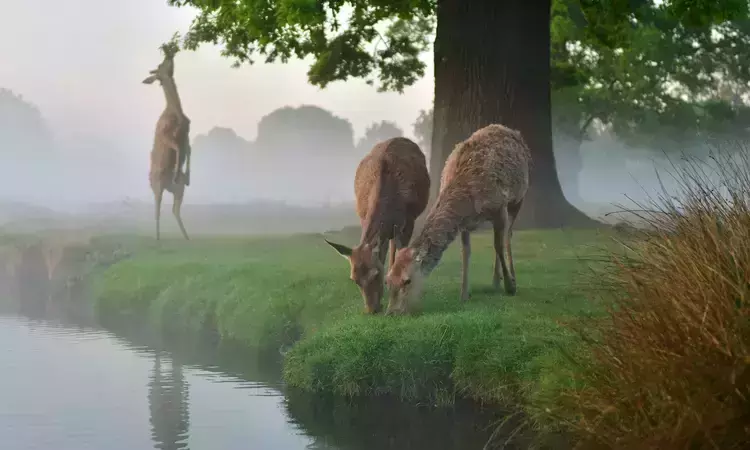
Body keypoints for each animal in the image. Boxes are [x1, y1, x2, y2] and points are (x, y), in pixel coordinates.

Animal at [142, 45, 191, 241]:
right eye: (160, 65)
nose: (169, 53)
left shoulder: (187, 135)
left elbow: (189, 150)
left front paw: (186, 174)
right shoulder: (166, 136)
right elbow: (177, 149)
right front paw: (178, 170)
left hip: (176, 190)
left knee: (174, 209)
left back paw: (187, 238)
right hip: (156, 186)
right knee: (157, 210)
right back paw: (157, 239)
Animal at [388, 122, 536, 312]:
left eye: (407, 280)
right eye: (388, 279)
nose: (391, 312)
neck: (467, 201)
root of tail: (509, 130)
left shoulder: (500, 207)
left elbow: (498, 245)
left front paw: (510, 286)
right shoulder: (465, 223)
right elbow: (466, 252)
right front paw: (464, 294)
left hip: (519, 196)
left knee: (507, 235)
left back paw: (508, 279)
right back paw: (495, 282)